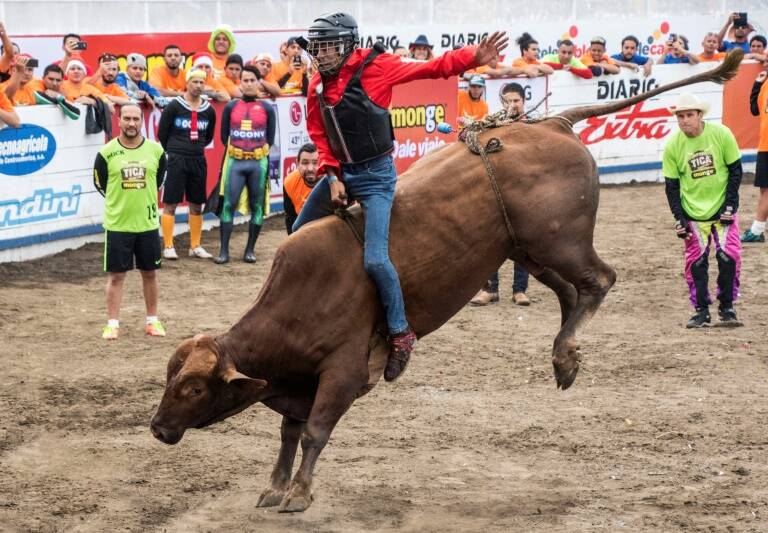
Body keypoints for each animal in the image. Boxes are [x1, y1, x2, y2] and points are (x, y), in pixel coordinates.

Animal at [150, 51, 744, 512]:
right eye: (169, 378)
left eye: (194, 388)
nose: (156, 428)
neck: (299, 299)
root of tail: (550, 124)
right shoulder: (292, 384)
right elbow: (289, 432)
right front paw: (275, 487)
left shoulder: (341, 372)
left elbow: (314, 431)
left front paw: (297, 494)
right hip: (528, 248)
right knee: (570, 292)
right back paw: (564, 359)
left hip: (561, 242)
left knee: (599, 281)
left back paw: (566, 352)